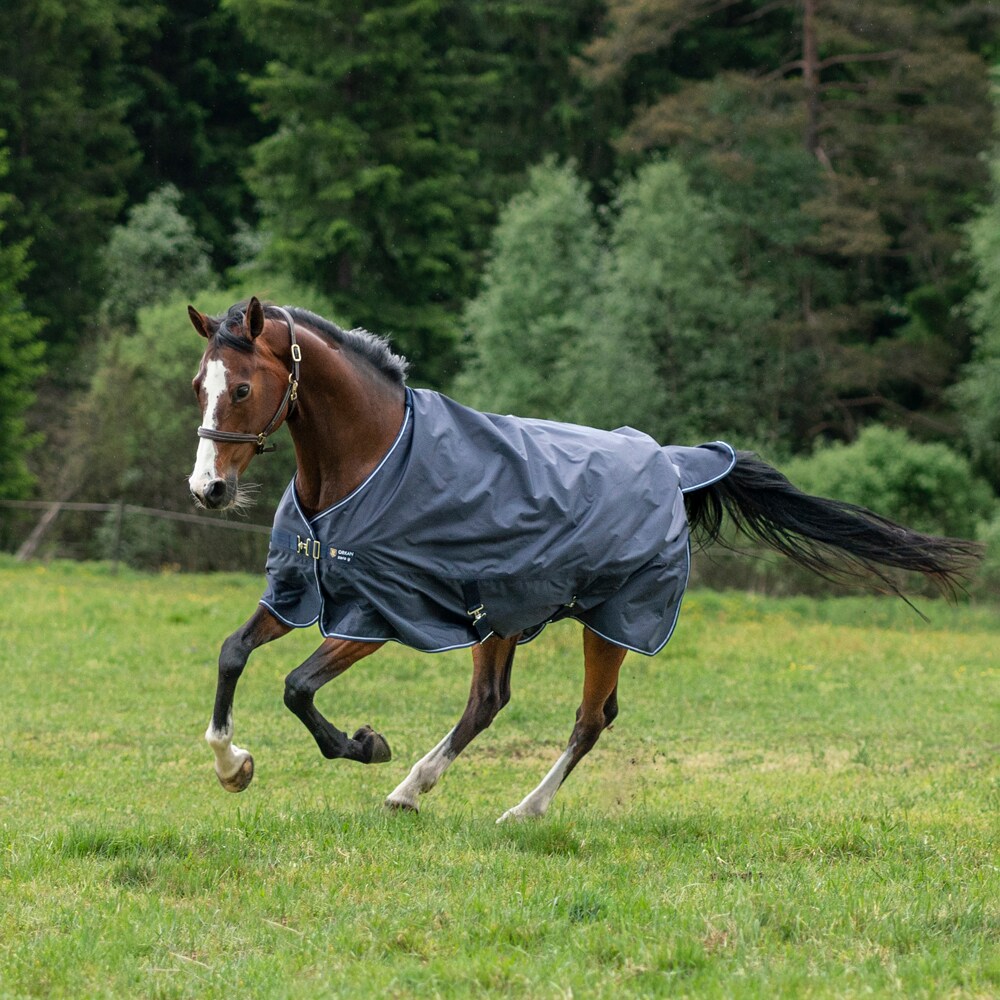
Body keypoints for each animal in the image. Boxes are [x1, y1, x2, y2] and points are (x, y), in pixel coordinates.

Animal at [188, 294, 984, 820]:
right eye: (199, 386)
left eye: (244, 387)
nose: (208, 489)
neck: (368, 460)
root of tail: (670, 463)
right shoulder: (300, 590)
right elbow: (233, 652)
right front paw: (232, 766)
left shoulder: (375, 614)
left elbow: (297, 686)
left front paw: (365, 744)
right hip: (505, 614)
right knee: (489, 702)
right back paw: (413, 792)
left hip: (611, 620)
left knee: (590, 718)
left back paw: (516, 810)